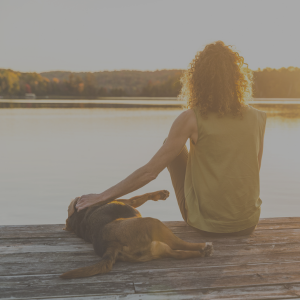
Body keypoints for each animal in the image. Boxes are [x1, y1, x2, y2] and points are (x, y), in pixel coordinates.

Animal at [59, 190, 212, 278]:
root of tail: (110, 245)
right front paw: (160, 194)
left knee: (179, 254)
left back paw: (201, 253)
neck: (78, 218)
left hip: (159, 248)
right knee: (180, 244)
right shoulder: (128, 201)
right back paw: (204, 246)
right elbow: (140, 196)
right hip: (154, 224)